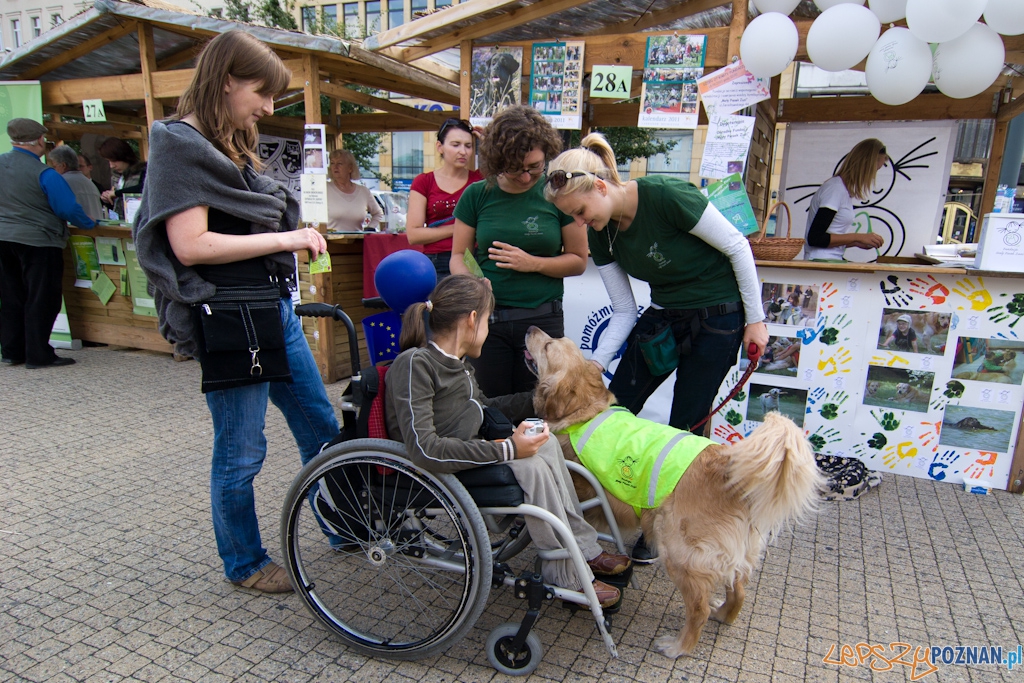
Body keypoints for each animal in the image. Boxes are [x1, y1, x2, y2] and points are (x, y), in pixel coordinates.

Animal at [528, 327, 823, 659]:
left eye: (548, 345)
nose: (531, 329)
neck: (584, 410)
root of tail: (726, 466)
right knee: (739, 590)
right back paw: (724, 613)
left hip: (679, 551)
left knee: (698, 608)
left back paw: (679, 645)